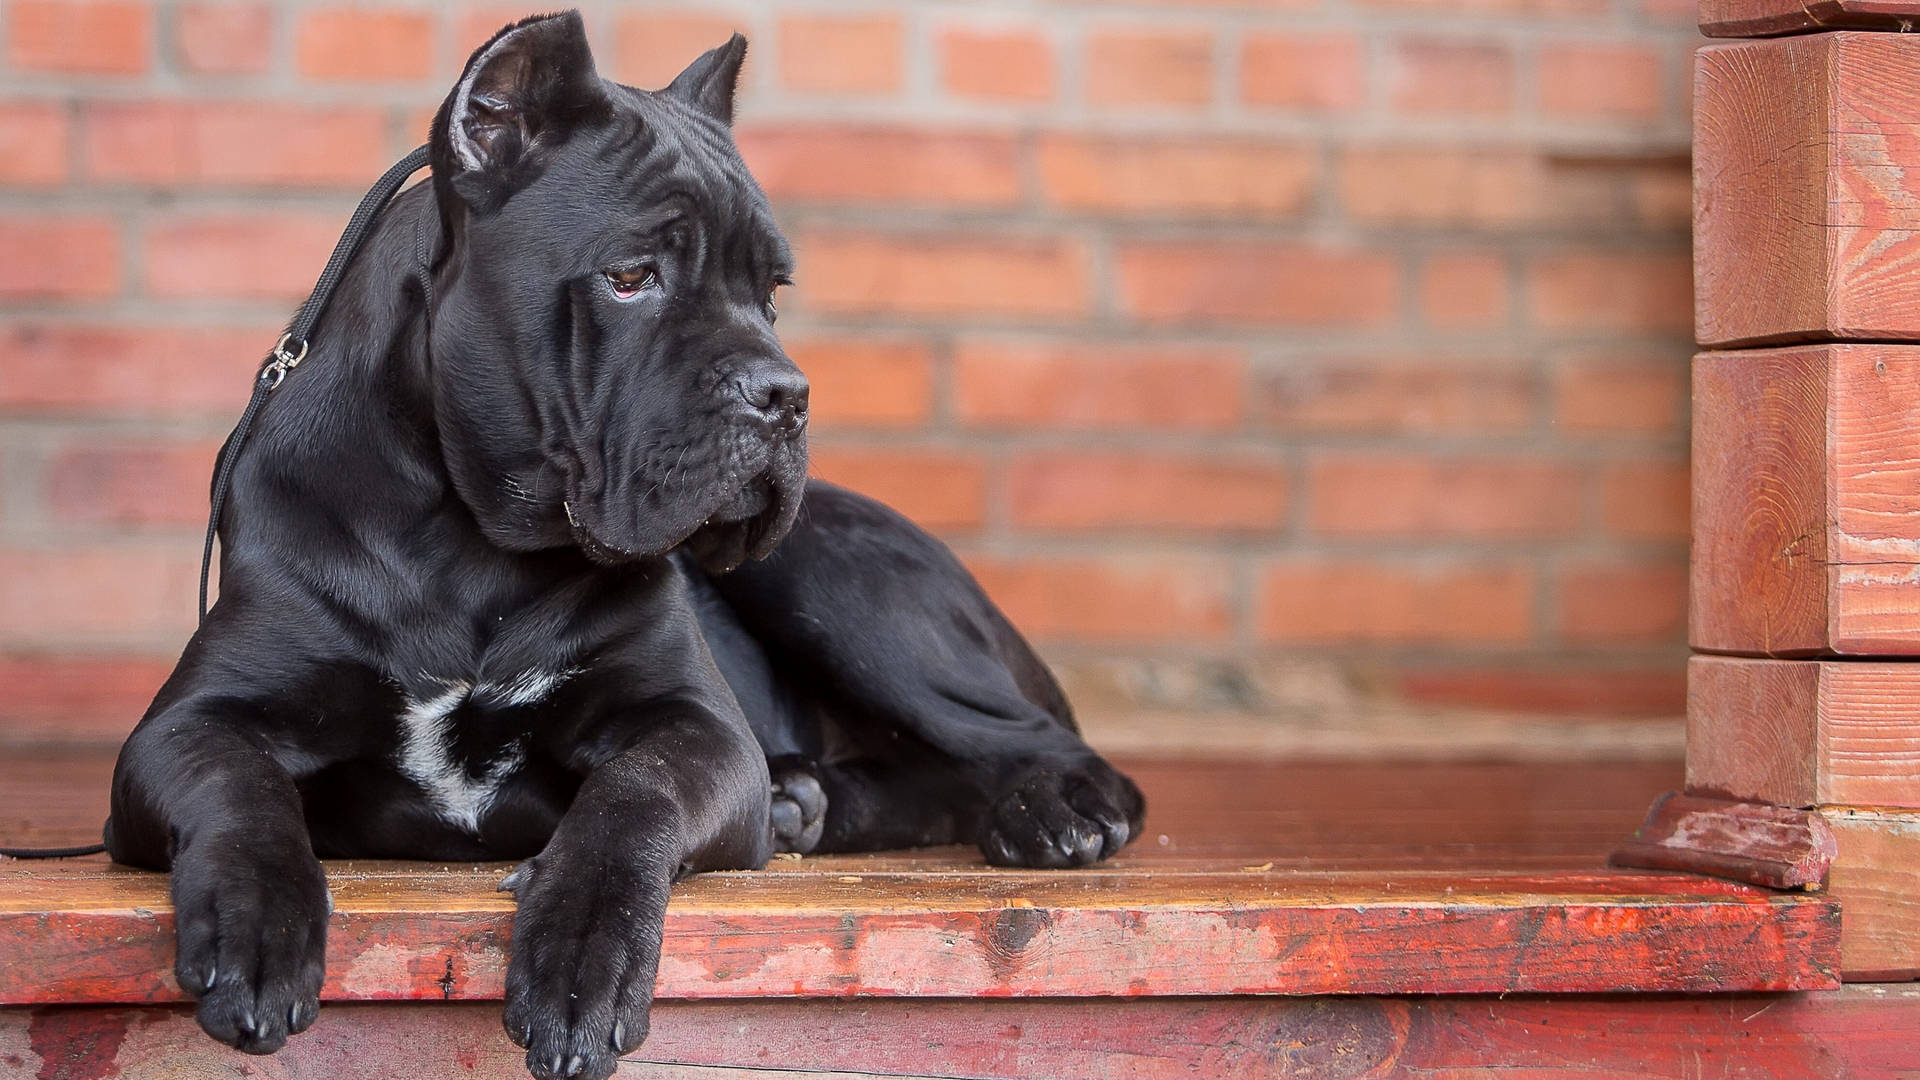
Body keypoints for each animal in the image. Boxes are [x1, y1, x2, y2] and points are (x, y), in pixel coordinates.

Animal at [105, 10, 1144, 1076]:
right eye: (632, 277)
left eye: (770, 293)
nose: (786, 394)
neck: (469, 544)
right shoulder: (185, 727)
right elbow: (239, 792)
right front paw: (257, 930)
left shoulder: (698, 726)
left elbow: (631, 795)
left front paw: (581, 957)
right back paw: (806, 802)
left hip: (831, 578)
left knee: (1047, 745)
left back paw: (1051, 816)